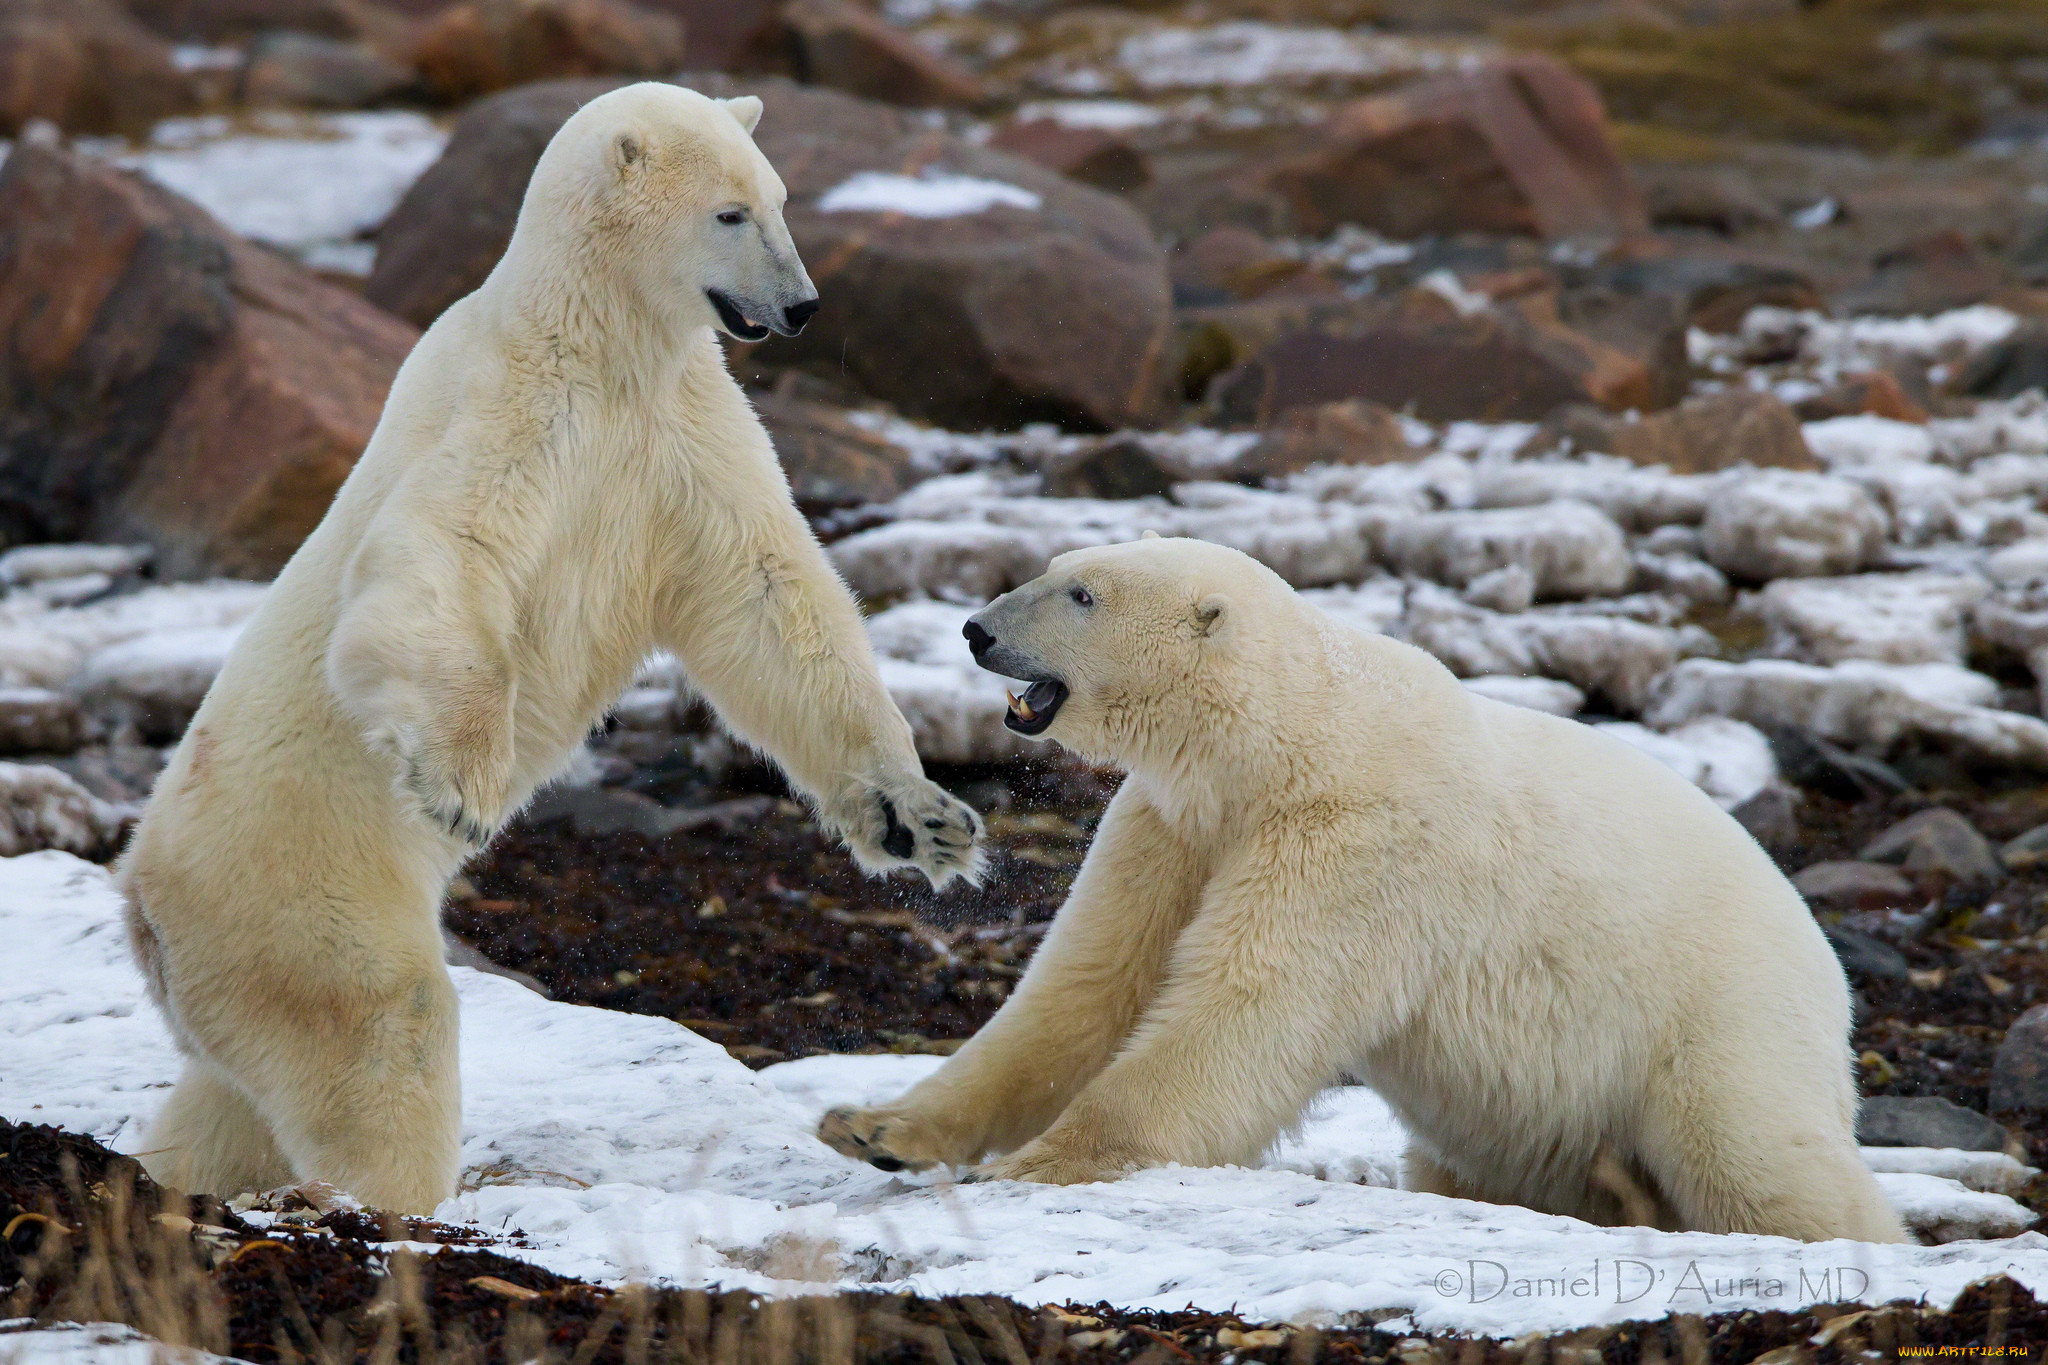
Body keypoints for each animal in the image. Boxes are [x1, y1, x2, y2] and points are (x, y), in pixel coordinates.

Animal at [117, 82, 983, 1219]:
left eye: (781, 199)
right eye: (729, 213)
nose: (802, 307)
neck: (598, 339)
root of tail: (141, 897)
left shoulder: (683, 429)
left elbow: (770, 602)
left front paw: (923, 819)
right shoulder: (518, 408)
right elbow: (440, 554)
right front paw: (462, 784)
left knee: (234, 1096)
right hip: (296, 891)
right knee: (380, 1028)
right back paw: (386, 1199)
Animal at [823, 536, 1908, 1252]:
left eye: (1080, 593)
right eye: (1049, 568)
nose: (975, 629)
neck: (1289, 737)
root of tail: (1824, 965)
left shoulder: (1360, 843)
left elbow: (1245, 1008)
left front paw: (1040, 1161)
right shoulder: (1177, 827)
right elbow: (1087, 987)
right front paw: (873, 1128)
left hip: (1714, 1018)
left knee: (1756, 1157)